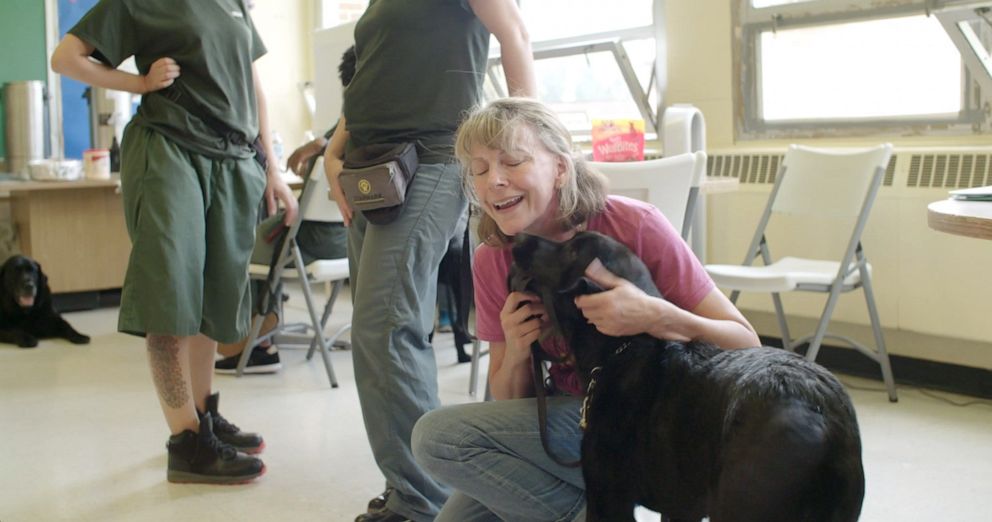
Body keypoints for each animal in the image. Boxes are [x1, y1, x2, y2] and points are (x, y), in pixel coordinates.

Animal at [508, 232, 864, 520]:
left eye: (571, 250)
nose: (517, 237)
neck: (624, 347)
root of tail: (827, 417)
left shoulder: (607, 498)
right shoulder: (682, 506)